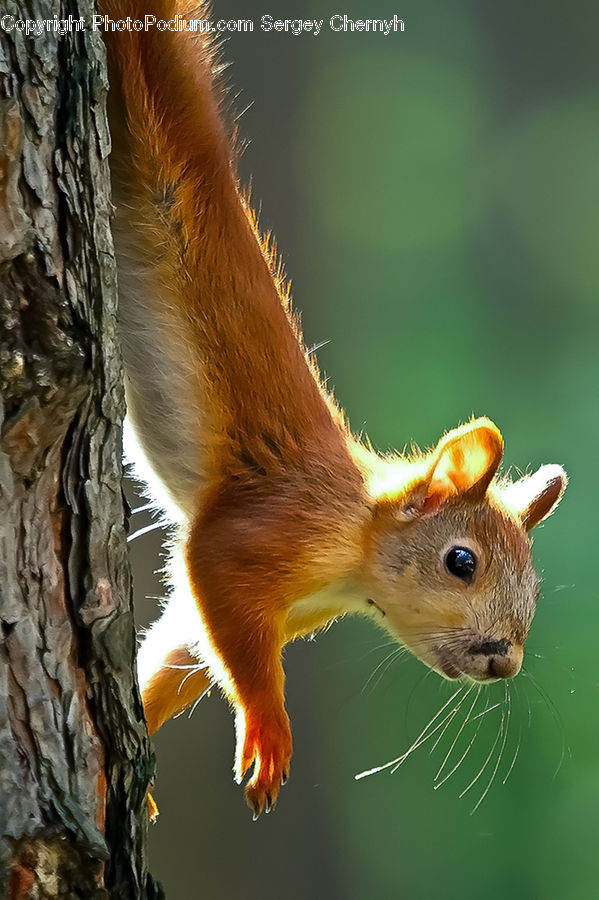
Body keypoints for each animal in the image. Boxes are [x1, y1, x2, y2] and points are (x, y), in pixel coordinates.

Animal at [102, 0, 568, 819]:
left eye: (537, 588)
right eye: (461, 562)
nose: (502, 662)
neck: (354, 552)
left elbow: (175, 654)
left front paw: (131, 766)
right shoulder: (264, 529)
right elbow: (214, 579)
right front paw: (267, 728)